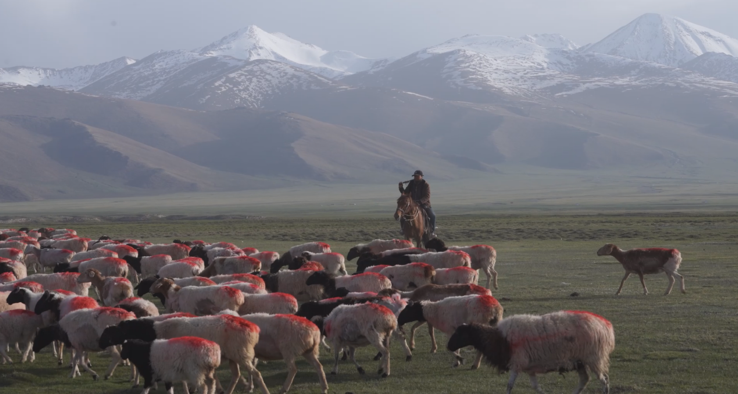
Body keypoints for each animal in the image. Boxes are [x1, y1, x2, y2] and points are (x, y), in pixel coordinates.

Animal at [99, 312, 268, 394]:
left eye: (109, 334)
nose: (99, 344)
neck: (152, 330)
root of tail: (253, 328)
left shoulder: (175, 357)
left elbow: (182, 380)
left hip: (241, 354)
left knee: (256, 374)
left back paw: (265, 391)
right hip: (234, 355)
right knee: (236, 375)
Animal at [446, 310, 612, 394]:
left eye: (460, 333)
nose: (448, 346)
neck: (499, 338)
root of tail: (605, 326)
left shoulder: (517, 363)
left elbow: (509, 386)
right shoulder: (529, 368)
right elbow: (535, 387)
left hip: (593, 358)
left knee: (604, 380)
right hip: (580, 361)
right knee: (584, 380)